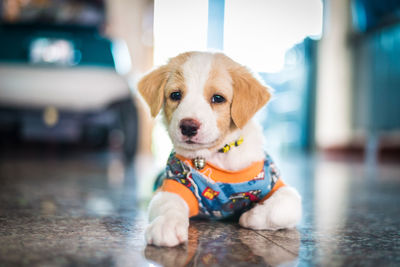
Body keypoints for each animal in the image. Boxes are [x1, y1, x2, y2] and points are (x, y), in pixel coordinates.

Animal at [138, 52, 300, 249]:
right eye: (175, 95)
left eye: (218, 98)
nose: (188, 126)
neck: (218, 156)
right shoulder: (174, 184)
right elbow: (168, 204)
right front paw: (166, 225)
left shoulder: (275, 183)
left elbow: (287, 203)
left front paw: (252, 215)